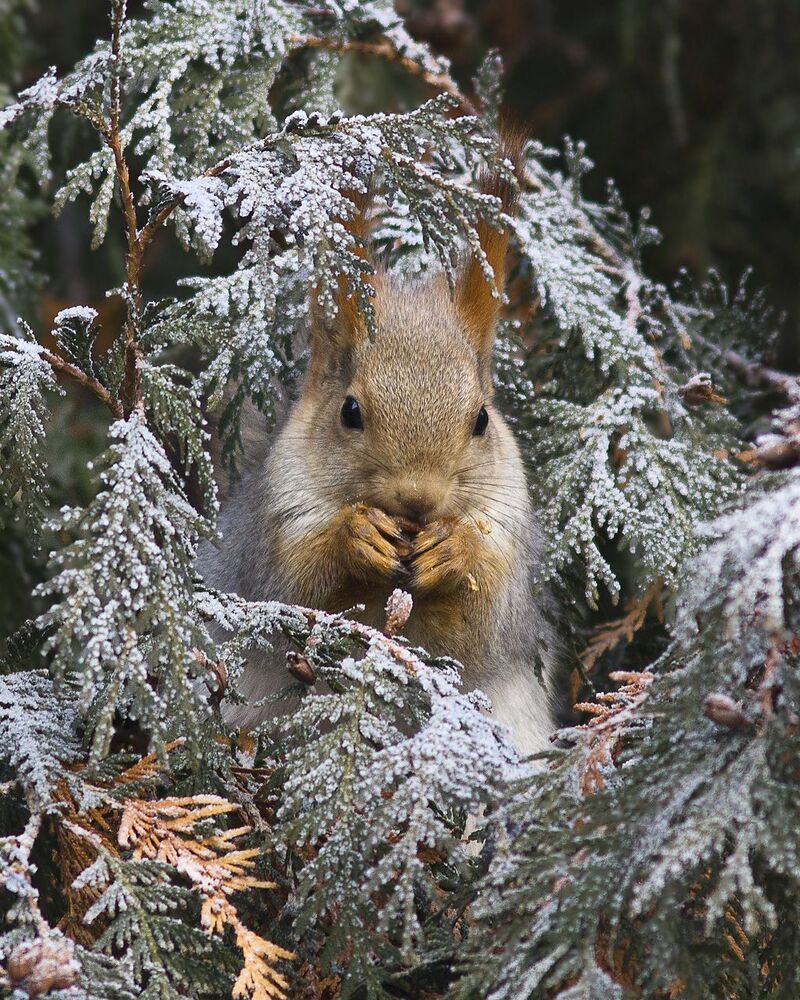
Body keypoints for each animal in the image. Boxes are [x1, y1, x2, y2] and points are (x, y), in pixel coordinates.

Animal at [197, 150, 556, 755]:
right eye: (350, 411)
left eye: (481, 420)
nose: (417, 499)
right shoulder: (270, 526)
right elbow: (291, 587)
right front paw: (355, 535)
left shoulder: (507, 542)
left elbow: (482, 626)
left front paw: (454, 551)